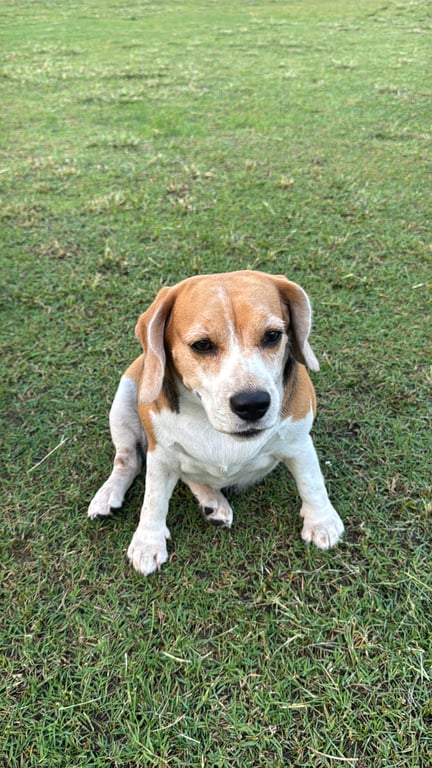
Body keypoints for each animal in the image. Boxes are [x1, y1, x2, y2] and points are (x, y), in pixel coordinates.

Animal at [88, 270, 344, 575]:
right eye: (202, 345)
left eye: (272, 336)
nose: (252, 404)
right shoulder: (160, 456)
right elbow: (153, 500)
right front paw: (148, 541)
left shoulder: (298, 441)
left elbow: (311, 482)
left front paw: (322, 522)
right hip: (125, 396)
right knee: (128, 460)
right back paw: (109, 495)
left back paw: (212, 502)